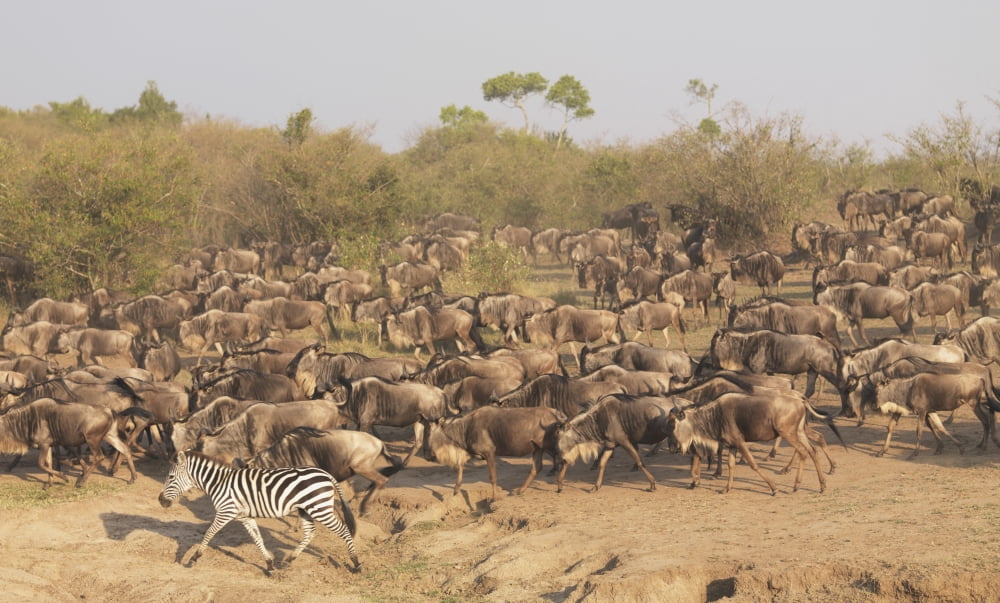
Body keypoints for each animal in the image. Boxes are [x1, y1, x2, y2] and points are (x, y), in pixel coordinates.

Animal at [158, 450, 362, 573]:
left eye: (171, 477)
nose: (161, 500)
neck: (218, 483)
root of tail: (325, 473)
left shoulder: (225, 512)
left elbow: (208, 533)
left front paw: (193, 558)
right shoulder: (245, 517)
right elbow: (258, 539)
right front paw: (270, 565)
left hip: (320, 508)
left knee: (344, 530)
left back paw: (356, 563)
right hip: (306, 509)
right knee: (310, 533)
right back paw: (288, 560)